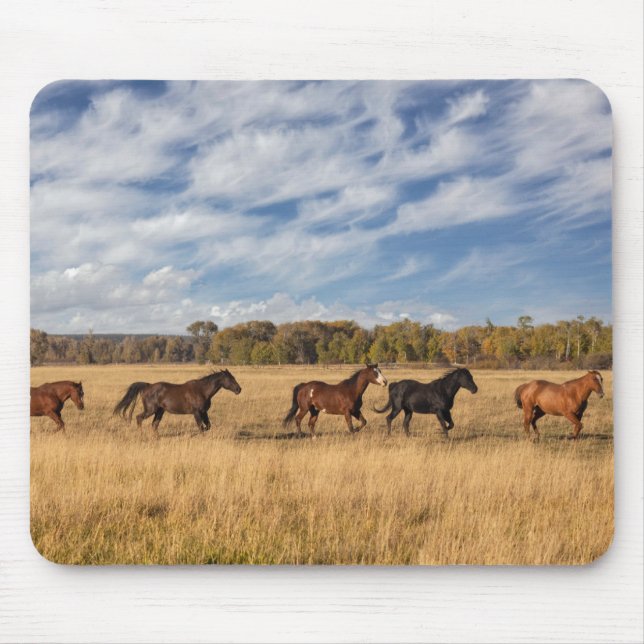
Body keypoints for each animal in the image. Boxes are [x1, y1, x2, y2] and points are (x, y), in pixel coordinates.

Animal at [113, 369, 241, 436]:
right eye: (230, 379)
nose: (239, 389)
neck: (202, 391)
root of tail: (148, 386)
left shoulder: (204, 412)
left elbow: (208, 426)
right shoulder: (196, 412)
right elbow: (201, 427)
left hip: (160, 411)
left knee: (154, 424)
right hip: (150, 410)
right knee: (139, 418)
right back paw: (142, 434)